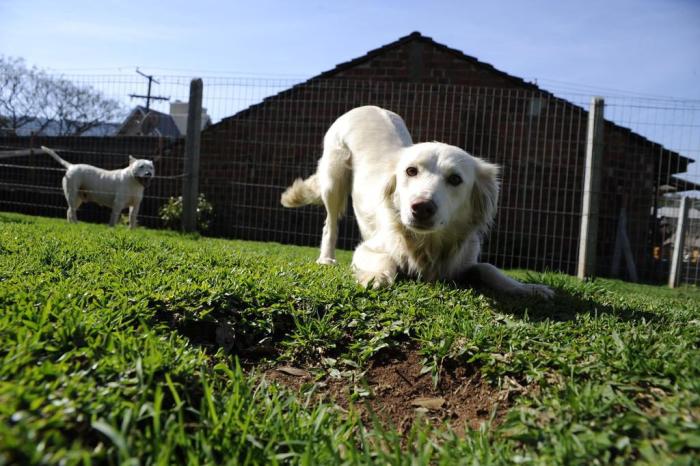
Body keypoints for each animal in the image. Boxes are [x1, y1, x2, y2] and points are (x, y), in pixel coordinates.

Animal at [282, 106, 556, 298]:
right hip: (334, 179)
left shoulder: (464, 261)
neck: (426, 245)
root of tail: (366, 106)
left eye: (455, 179)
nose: (421, 208)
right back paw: (326, 259)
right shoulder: (367, 249)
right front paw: (375, 276)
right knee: (330, 224)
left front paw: (529, 288)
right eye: (411, 171)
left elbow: (488, 268)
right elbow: (386, 259)